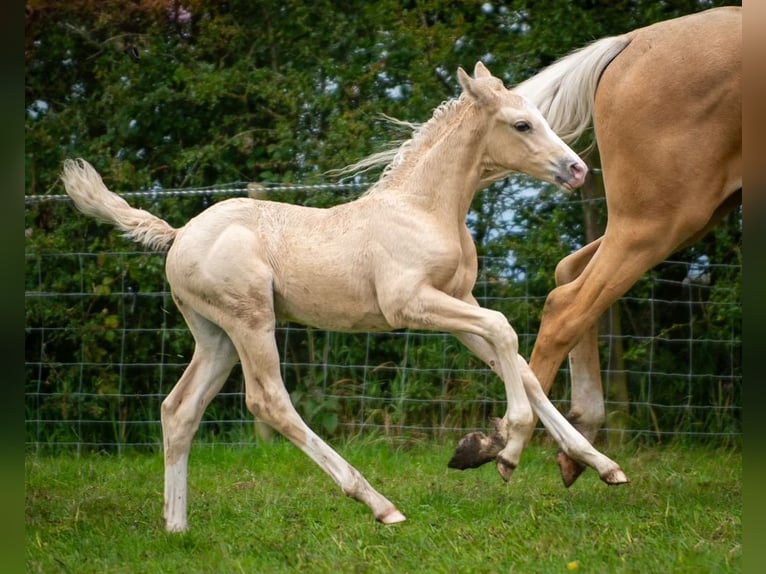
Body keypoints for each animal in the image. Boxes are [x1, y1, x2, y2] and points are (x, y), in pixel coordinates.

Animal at [61, 60, 632, 532]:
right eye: (521, 124)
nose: (577, 170)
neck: (424, 208)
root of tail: (178, 234)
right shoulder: (411, 305)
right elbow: (504, 331)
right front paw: (506, 449)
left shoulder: (459, 301)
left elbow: (518, 364)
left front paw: (600, 465)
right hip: (250, 321)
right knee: (268, 401)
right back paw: (380, 505)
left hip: (215, 336)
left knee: (179, 410)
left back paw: (176, 527)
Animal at [452, 6, 740, 488]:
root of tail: (630, 41)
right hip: (661, 220)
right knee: (568, 303)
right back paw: (511, 443)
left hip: (689, 216)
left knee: (567, 274)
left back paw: (575, 437)